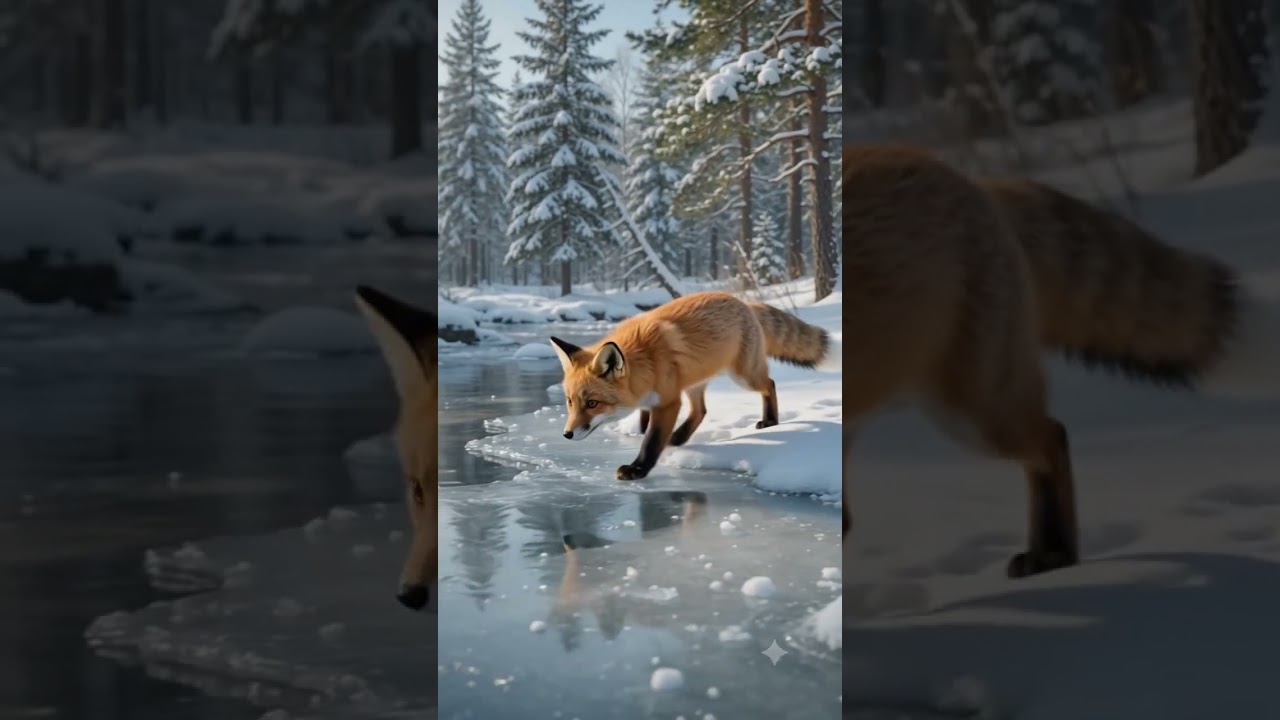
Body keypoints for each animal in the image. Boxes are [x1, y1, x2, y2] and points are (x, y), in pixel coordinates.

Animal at [550, 291, 841, 481]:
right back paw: (679, 437)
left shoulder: (669, 401)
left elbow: (652, 441)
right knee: (700, 411)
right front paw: (643, 432)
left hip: (743, 376)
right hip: (694, 383)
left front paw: (638, 469)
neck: (646, 360)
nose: (566, 434)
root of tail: (743, 302)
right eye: (570, 402)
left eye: (592, 403)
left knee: (769, 384)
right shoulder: (656, 398)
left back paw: (770, 421)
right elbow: (646, 425)